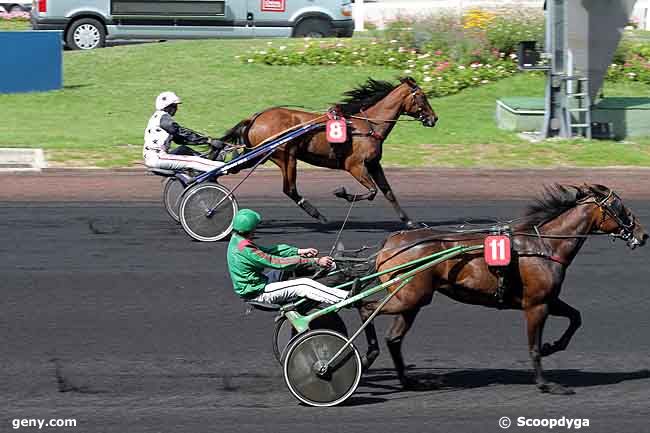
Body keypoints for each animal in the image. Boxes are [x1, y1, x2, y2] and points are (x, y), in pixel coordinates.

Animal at [220, 77, 438, 228]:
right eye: (422, 96)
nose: (434, 118)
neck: (367, 125)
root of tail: (255, 118)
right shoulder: (355, 165)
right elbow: (372, 191)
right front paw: (342, 193)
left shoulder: (374, 164)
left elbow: (388, 192)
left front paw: (410, 222)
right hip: (285, 156)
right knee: (289, 189)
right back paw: (319, 215)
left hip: (261, 155)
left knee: (236, 168)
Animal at [356, 184, 644, 394]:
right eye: (619, 206)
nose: (643, 234)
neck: (544, 245)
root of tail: (390, 242)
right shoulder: (536, 305)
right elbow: (533, 346)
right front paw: (545, 383)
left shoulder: (548, 299)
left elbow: (576, 317)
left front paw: (552, 346)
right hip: (409, 296)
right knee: (365, 308)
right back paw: (368, 355)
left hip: (412, 299)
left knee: (393, 337)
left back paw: (407, 380)